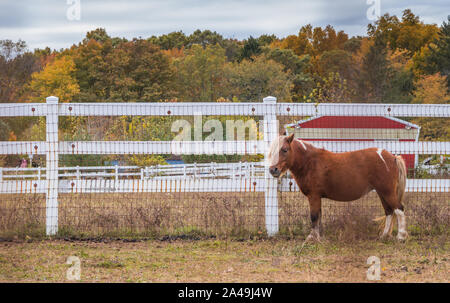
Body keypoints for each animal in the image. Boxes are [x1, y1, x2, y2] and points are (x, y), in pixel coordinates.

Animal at [268, 134, 410, 243]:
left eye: (285, 150)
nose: (273, 170)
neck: (310, 162)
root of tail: (393, 157)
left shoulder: (314, 196)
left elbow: (314, 216)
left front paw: (311, 238)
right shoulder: (318, 197)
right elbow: (319, 216)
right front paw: (320, 237)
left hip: (387, 192)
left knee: (399, 209)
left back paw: (401, 237)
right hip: (382, 193)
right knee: (389, 211)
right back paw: (384, 235)